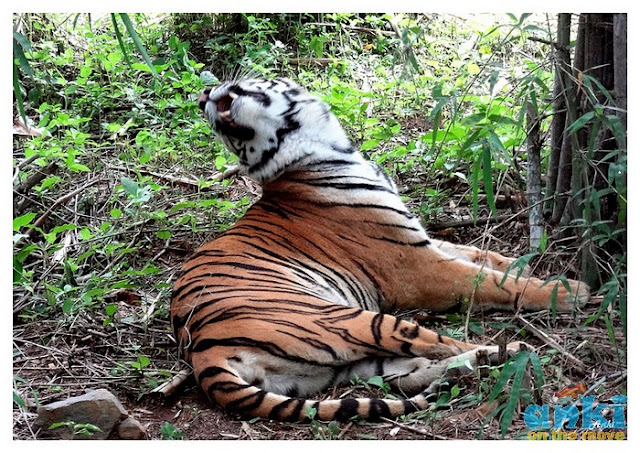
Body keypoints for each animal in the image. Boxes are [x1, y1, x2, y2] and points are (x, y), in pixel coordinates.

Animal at [170, 77, 590, 422]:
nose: (202, 96)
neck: (324, 149)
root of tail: (203, 354)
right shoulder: (415, 267)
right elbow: (489, 280)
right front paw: (571, 291)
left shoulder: (417, 237)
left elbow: (481, 256)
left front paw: (531, 265)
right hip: (355, 319)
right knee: (440, 344)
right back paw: (511, 349)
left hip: (338, 365)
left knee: (408, 374)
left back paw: (469, 367)